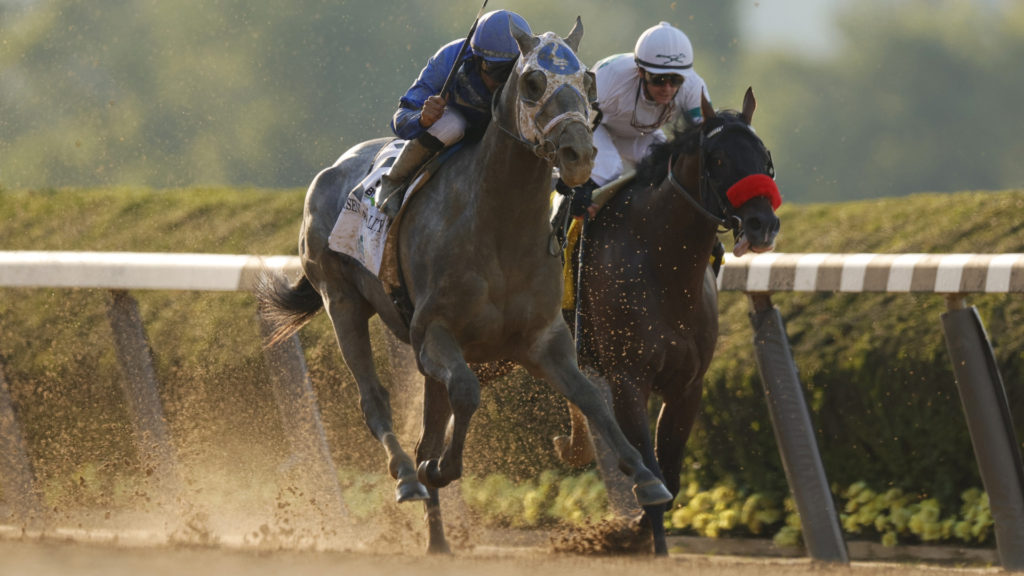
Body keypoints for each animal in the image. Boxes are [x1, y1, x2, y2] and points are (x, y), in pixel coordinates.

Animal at [254, 19, 671, 553]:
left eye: (589, 81)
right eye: (533, 82)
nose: (579, 155)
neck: (497, 228)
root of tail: (331, 170)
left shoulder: (543, 339)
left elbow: (590, 398)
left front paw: (646, 476)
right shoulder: (433, 334)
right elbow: (468, 394)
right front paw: (439, 470)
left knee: (427, 428)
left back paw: (438, 540)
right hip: (341, 300)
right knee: (375, 401)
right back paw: (408, 478)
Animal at [557, 88, 778, 553]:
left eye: (762, 154)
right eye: (717, 158)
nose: (761, 224)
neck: (662, 264)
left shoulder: (687, 386)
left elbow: (671, 477)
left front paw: (633, 533)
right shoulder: (628, 379)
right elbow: (652, 472)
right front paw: (641, 537)